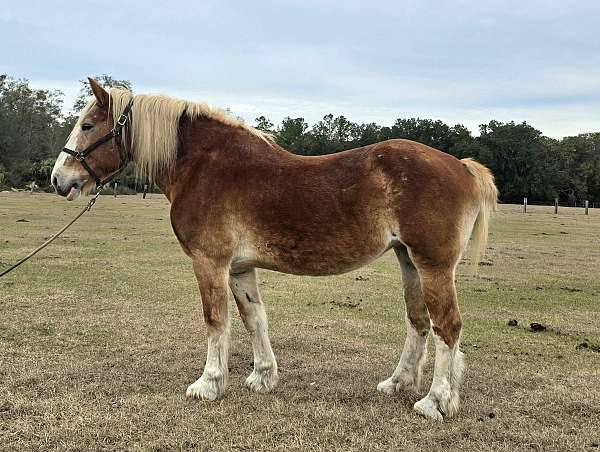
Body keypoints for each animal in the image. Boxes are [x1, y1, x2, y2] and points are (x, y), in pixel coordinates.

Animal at [52, 77, 496, 420]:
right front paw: (262, 376)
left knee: (447, 327)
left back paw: (435, 402)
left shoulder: (210, 262)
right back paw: (397, 383)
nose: (58, 179)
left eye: (88, 125)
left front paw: (208, 383)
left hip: (433, 265)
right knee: (418, 322)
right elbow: (254, 318)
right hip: (409, 262)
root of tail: (461, 166)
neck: (204, 165)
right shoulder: (238, 268)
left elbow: (216, 320)